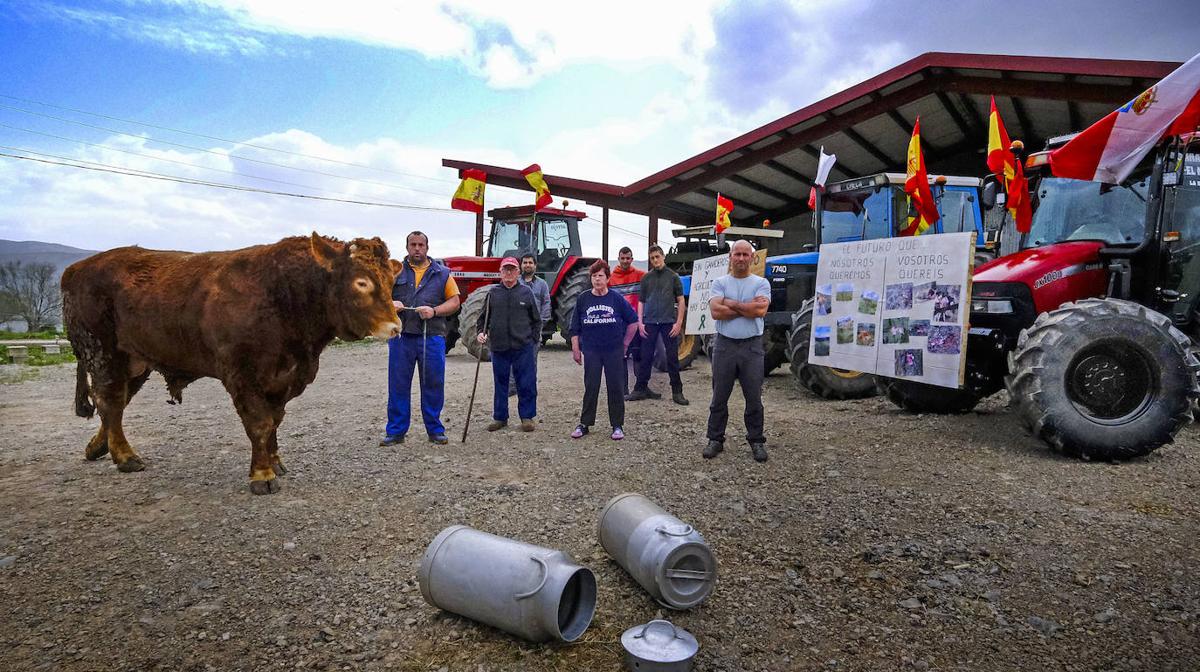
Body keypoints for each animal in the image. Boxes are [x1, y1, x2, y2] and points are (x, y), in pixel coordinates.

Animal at [63, 235, 400, 494]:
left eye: (391, 281)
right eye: (361, 282)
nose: (395, 326)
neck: (283, 294)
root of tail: (76, 269)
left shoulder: (284, 378)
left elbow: (274, 421)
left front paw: (275, 462)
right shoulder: (242, 375)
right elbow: (260, 423)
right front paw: (262, 475)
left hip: (135, 361)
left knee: (116, 405)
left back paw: (98, 447)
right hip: (103, 353)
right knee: (110, 401)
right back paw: (124, 456)